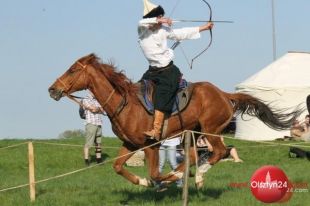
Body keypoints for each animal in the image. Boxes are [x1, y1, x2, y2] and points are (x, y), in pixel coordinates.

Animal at [49, 54, 302, 188]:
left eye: (72, 71)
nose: (52, 89)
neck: (125, 104)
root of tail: (223, 93)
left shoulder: (150, 145)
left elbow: (155, 174)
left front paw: (162, 181)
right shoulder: (130, 144)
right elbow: (118, 166)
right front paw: (142, 182)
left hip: (211, 129)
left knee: (219, 151)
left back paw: (194, 175)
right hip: (197, 132)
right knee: (196, 154)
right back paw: (189, 174)